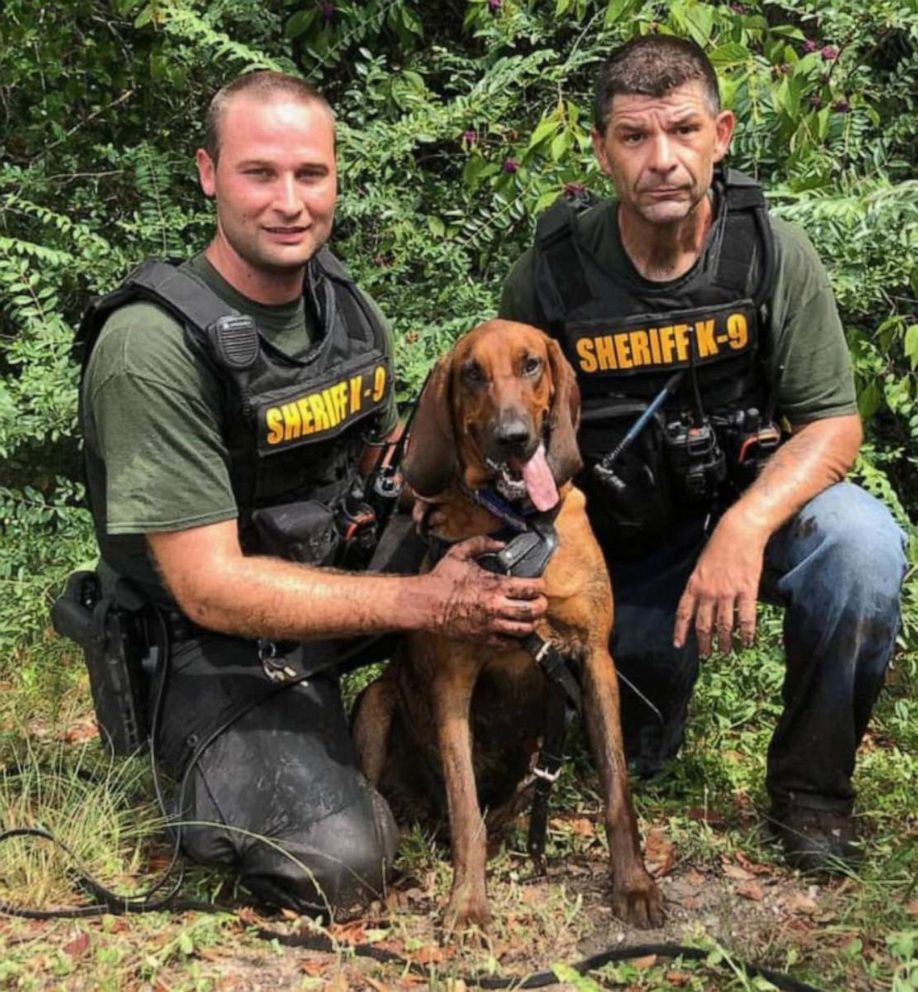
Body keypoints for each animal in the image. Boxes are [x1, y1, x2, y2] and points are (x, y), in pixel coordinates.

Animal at [350, 322, 660, 932]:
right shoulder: (453, 683)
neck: (520, 527)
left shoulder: (594, 660)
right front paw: (468, 904)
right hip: (375, 704)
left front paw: (633, 882)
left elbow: (618, 791)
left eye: (532, 364)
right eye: (472, 373)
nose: (513, 437)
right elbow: (465, 805)